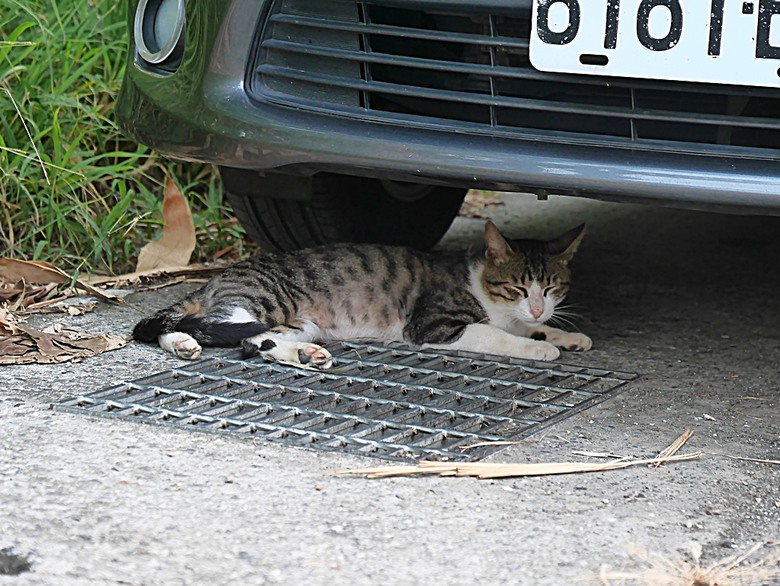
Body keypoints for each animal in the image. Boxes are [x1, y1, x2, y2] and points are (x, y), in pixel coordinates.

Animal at [133, 221, 592, 368]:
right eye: (517, 287)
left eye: (551, 288)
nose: (538, 307)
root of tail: (216, 279)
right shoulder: (434, 325)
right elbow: (497, 335)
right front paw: (539, 349)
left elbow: (534, 329)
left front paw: (566, 336)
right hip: (263, 302)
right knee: (214, 326)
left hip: (301, 322)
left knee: (256, 340)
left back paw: (307, 355)